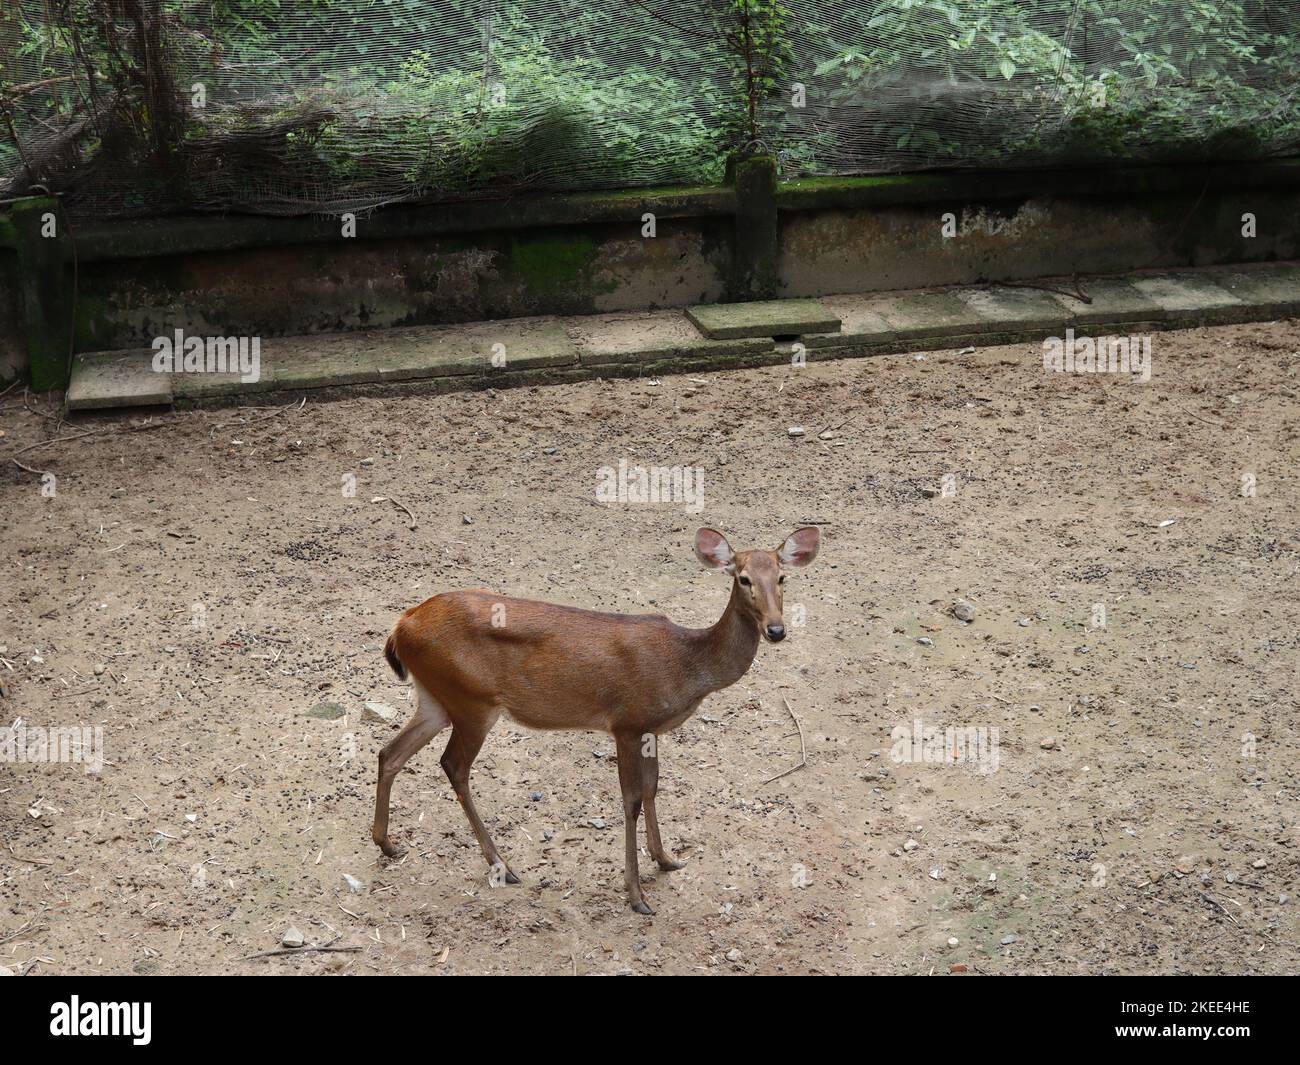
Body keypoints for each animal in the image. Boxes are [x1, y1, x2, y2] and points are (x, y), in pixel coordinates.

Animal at [371, 525, 816, 915]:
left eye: (781, 577)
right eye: (743, 578)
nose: (776, 629)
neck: (686, 666)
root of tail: (400, 625)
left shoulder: (650, 729)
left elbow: (653, 789)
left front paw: (666, 858)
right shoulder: (627, 722)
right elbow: (631, 800)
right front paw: (636, 895)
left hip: (436, 699)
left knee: (389, 752)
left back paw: (387, 843)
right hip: (472, 701)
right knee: (453, 765)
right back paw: (502, 865)